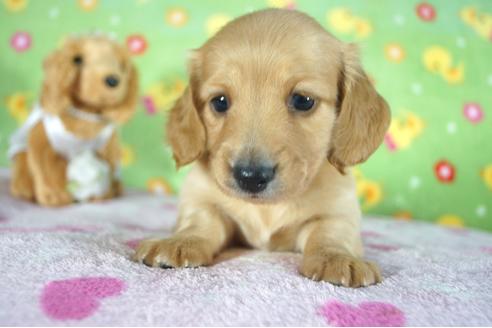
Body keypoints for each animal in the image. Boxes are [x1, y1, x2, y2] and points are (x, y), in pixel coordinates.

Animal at [9, 35, 138, 205]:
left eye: (121, 64)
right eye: (78, 60)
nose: (113, 80)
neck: (84, 115)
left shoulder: (107, 146)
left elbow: (107, 168)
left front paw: (102, 194)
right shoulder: (43, 144)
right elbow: (47, 168)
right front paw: (55, 195)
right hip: (21, 154)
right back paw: (24, 188)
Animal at [136, 9, 390, 288]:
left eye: (303, 100)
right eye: (219, 102)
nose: (250, 177)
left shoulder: (338, 213)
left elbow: (330, 234)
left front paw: (337, 258)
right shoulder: (201, 200)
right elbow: (200, 222)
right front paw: (179, 242)